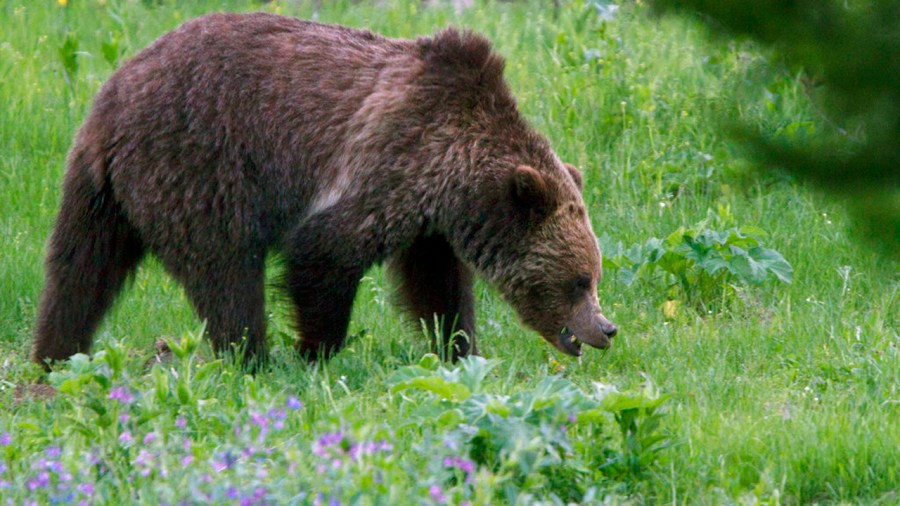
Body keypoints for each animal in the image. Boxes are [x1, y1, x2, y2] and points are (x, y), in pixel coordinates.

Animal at [31, 12, 617, 370]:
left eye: (593, 275)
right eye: (579, 280)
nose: (605, 328)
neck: (454, 173)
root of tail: (111, 101)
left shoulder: (428, 219)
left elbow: (436, 285)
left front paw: (458, 348)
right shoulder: (390, 157)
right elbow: (324, 250)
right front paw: (317, 352)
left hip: (102, 194)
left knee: (79, 272)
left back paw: (54, 357)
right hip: (198, 166)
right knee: (226, 273)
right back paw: (253, 357)